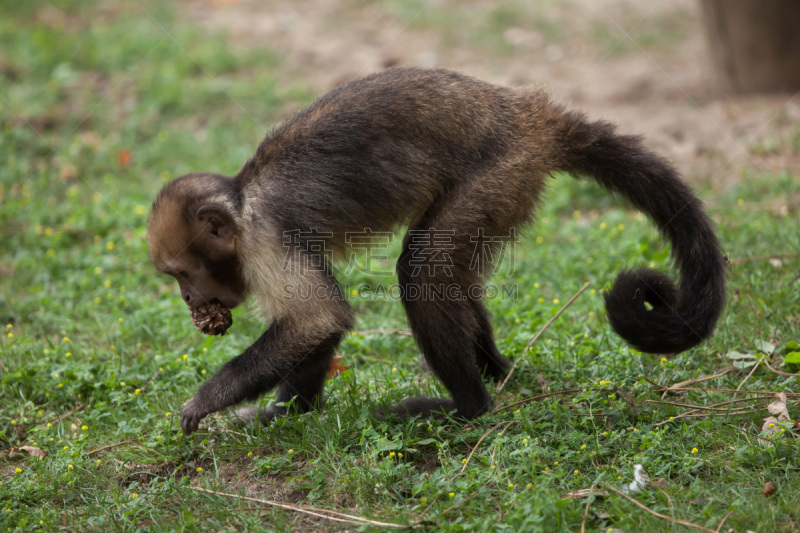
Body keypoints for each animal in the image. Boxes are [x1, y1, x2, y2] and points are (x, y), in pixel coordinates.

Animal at [147, 66, 728, 434]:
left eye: (182, 273)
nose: (190, 301)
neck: (242, 203)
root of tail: (526, 113)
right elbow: (319, 325)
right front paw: (289, 413)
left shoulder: (263, 239)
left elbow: (317, 318)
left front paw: (210, 398)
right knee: (453, 276)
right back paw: (498, 373)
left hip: (501, 172)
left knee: (423, 270)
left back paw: (470, 407)